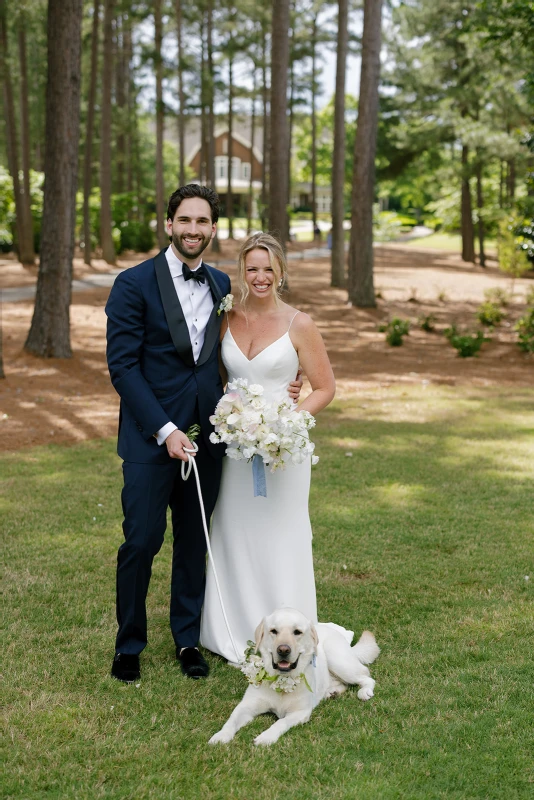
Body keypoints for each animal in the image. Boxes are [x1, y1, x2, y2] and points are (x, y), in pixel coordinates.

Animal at [209, 608, 382, 748]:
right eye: (273, 631)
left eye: (297, 632)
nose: (283, 650)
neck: (281, 680)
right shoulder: (247, 705)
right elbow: (231, 719)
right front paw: (221, 736)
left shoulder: (300, 712)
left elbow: (280, 722)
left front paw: (266, 737)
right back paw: (331, 692)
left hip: (339, 661)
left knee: (366, 676)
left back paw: (364, 692)